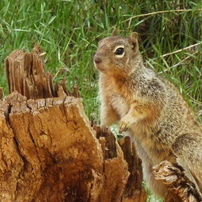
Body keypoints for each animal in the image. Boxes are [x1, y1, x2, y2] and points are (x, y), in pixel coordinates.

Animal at [93, 32, 202, 198]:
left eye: (119, 50)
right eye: (100, 43)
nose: (96, 59)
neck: (114, 79)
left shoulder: (150, 93)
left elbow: (140, 109)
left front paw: (125, 122)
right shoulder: (109, 104)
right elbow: (107, 117)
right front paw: (100, 126)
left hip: (185, 144)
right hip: (152, 176)